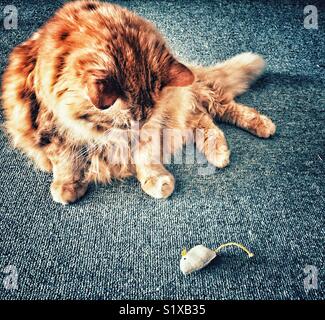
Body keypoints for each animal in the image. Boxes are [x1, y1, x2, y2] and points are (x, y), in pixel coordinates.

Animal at [0, 0, 274, 204]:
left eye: (141, 121)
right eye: (123, 125)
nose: (135, 133)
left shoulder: (153, 125)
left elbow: (146, 156)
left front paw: (158, 180)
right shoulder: (47, 125)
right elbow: (67, 159)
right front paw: (67, 185)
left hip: (189, 99)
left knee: (219, 107)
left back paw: (256, 130)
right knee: (202, 118)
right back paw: (219, 152)